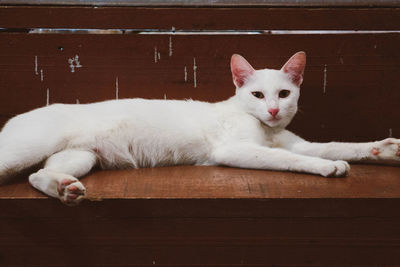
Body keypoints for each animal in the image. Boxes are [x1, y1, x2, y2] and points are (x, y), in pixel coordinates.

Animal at [0, 52, 398, 206]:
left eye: (284, 94)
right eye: (257, 94)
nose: (272, 110)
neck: (267, 130)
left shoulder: (298, 142)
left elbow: (333, 145)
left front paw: (385, 149)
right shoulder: (234, 150)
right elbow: (291, 159)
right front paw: (326, 168)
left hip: (80, 157)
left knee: (38, 175)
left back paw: (64, 189)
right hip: (25, 149)